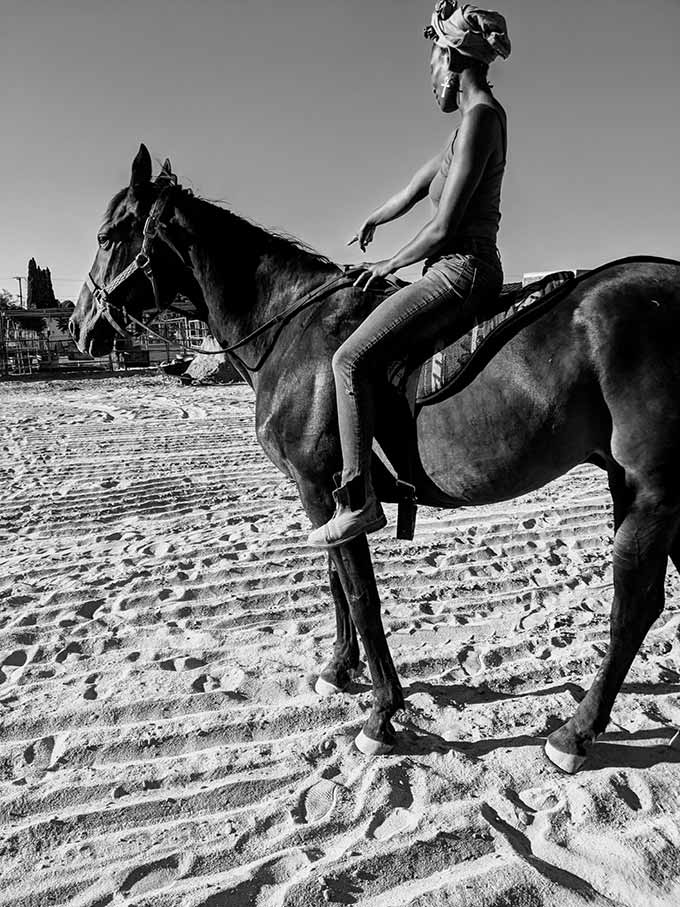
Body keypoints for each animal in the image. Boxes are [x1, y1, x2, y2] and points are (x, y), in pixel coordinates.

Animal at [69, 147, 680, 772]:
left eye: (106, 235)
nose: (79, 324)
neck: (293, 333)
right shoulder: (322, 497)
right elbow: (337, 579)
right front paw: (339, 669)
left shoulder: (327, 488)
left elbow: (361, 594)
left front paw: (382, 713)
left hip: (650, 491)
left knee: (635, 604)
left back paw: (574, 734)